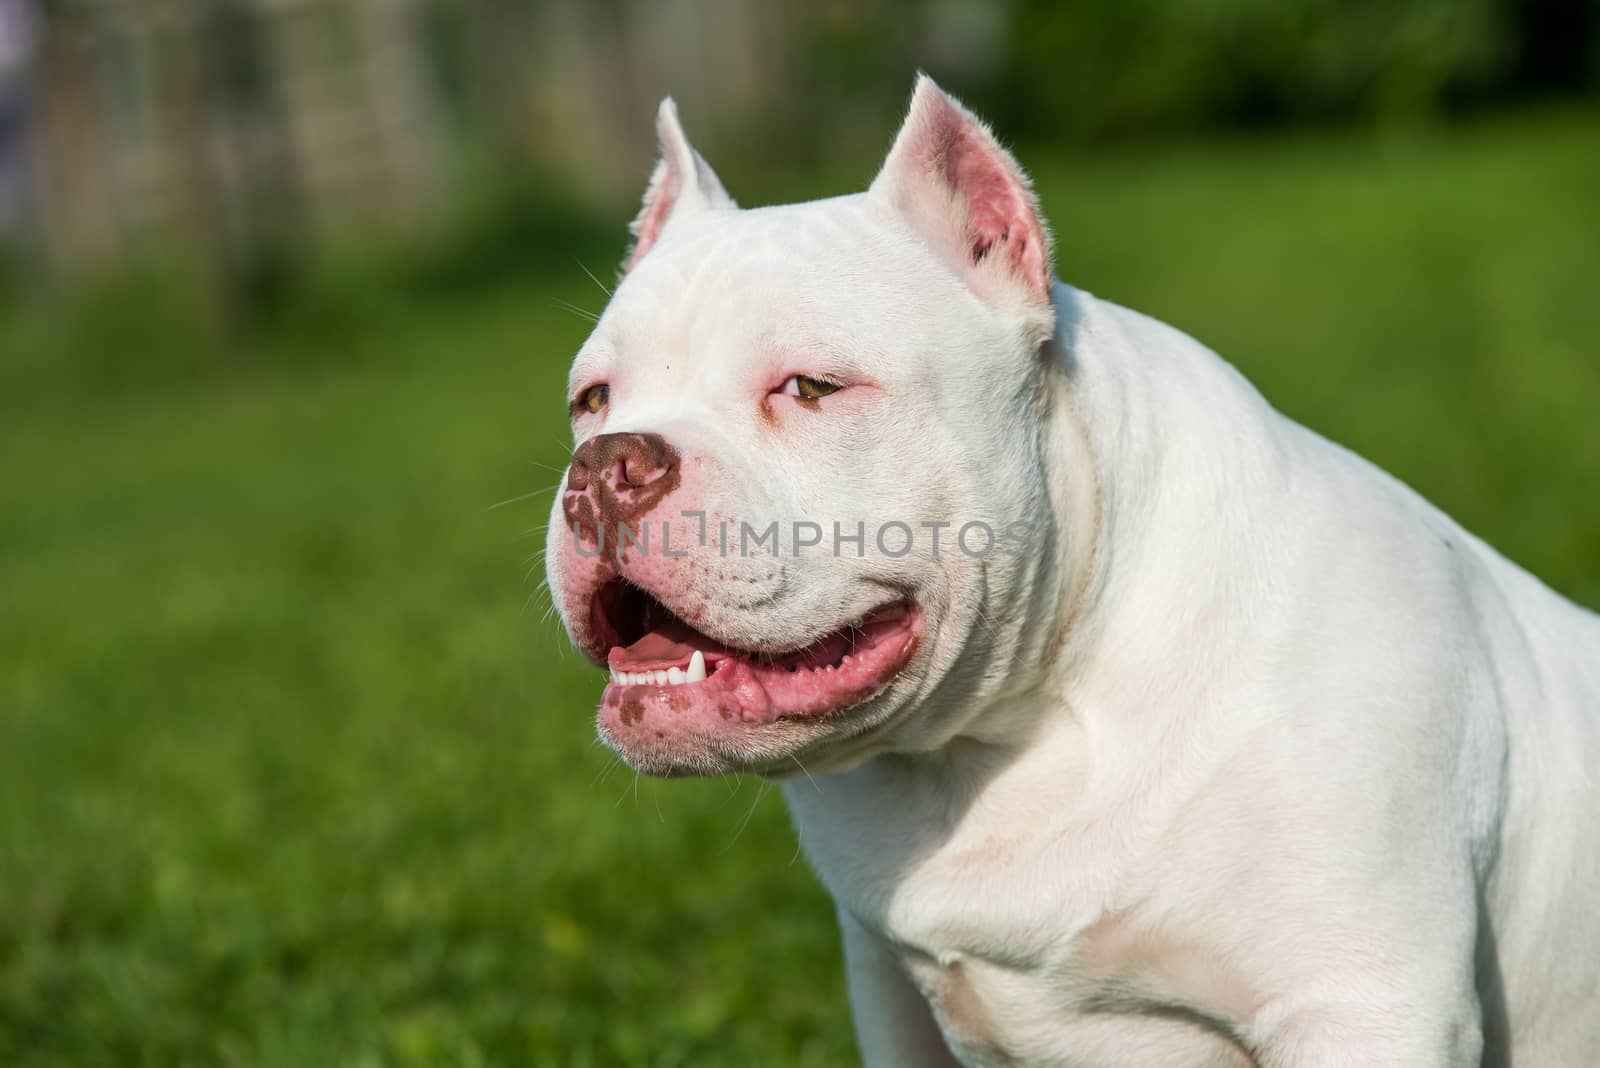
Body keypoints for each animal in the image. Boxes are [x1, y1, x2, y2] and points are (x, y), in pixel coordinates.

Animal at [544, 77, 1593, 1068]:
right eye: (591, 400)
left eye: (810, 388)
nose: (607, 466)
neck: (1007, 733)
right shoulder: (892, 997)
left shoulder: (1365, 1003)